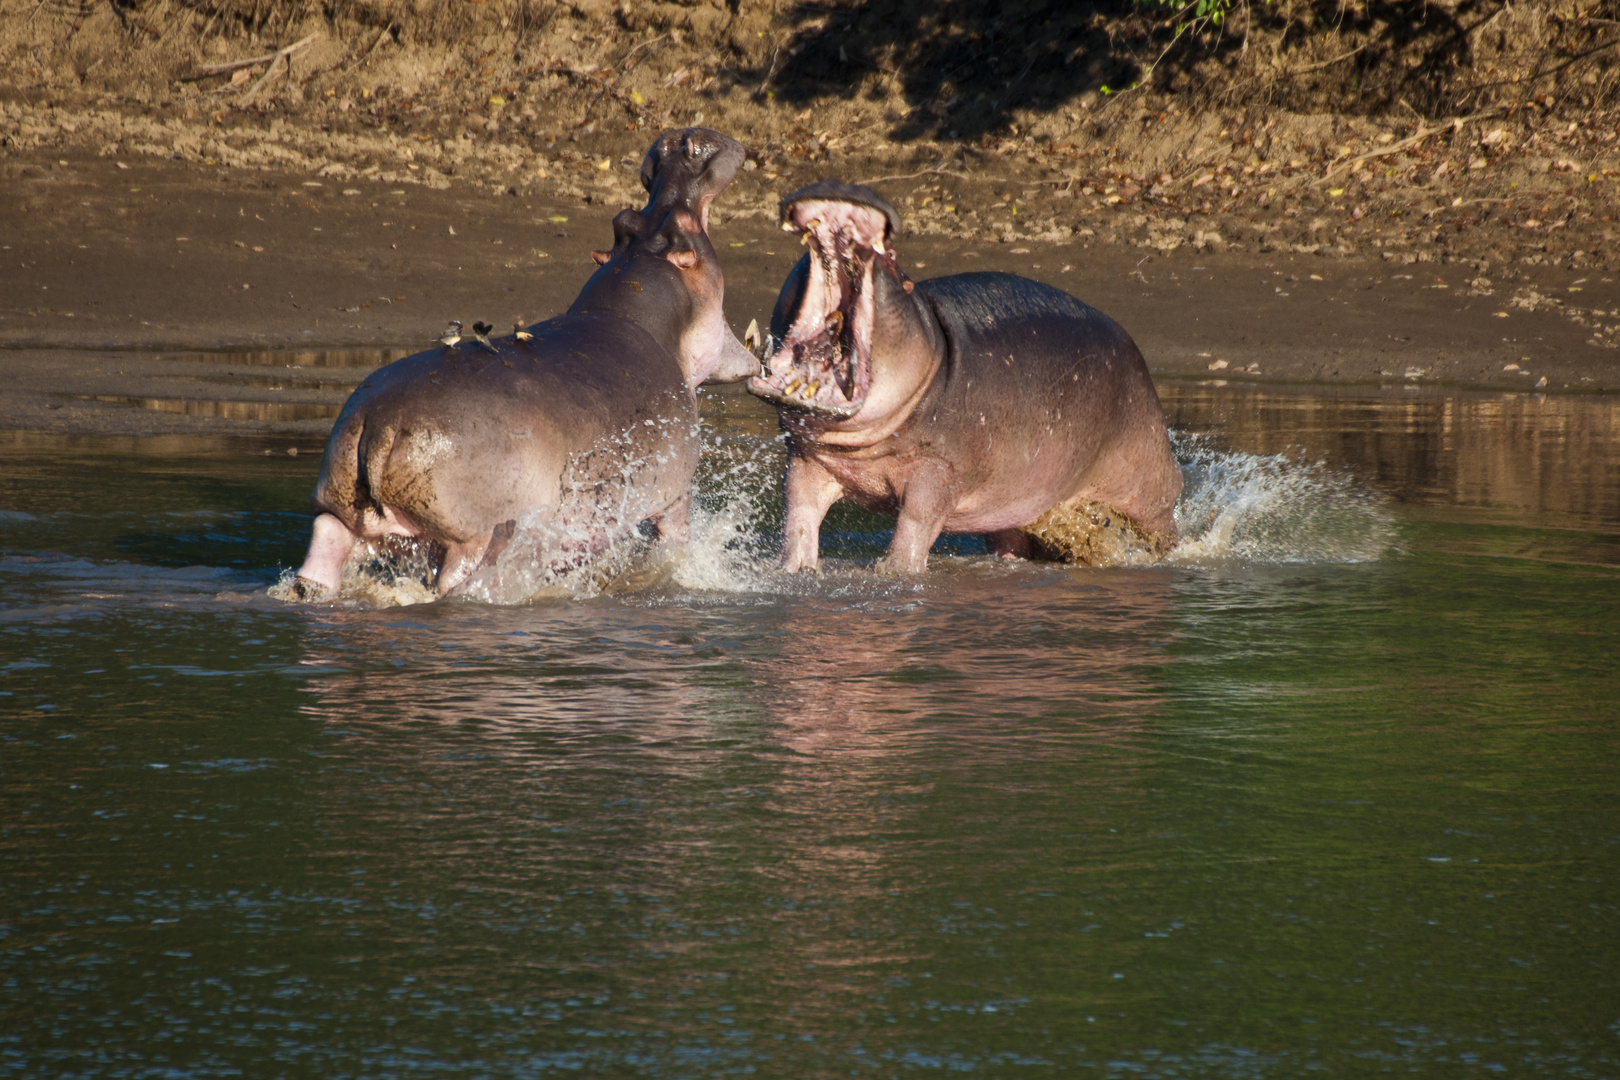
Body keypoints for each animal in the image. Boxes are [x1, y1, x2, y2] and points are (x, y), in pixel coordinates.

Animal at [289, 128, 758, 599]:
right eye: (686, 226)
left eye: (624, 219)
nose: (680, 142)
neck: (633, 293)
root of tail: (384, 420)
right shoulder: (674, 490)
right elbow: (673, 543)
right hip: (476, 537)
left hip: (335, 512)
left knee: (320, 561)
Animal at [741, 179, 1179, 573]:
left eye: (896, 264)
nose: (847, 184)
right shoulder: (807, 461)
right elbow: (799, 516)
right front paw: (794, 570)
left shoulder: (938, 469)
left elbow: (916, 523)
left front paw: (895, 572)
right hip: (1013, 507)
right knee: (1010, 541)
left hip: (1150, 493)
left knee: (1163, 529)